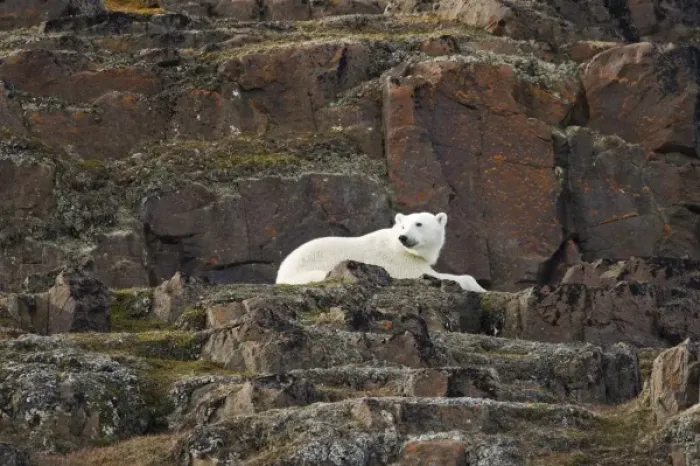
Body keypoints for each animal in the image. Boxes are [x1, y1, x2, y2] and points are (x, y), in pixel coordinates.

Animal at [275, 211, 486, 292]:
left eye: (418, 224)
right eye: (403, 226)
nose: (404, 237)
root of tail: (280, 274)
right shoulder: (401, 262)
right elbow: (430, 274)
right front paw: (479, 286)